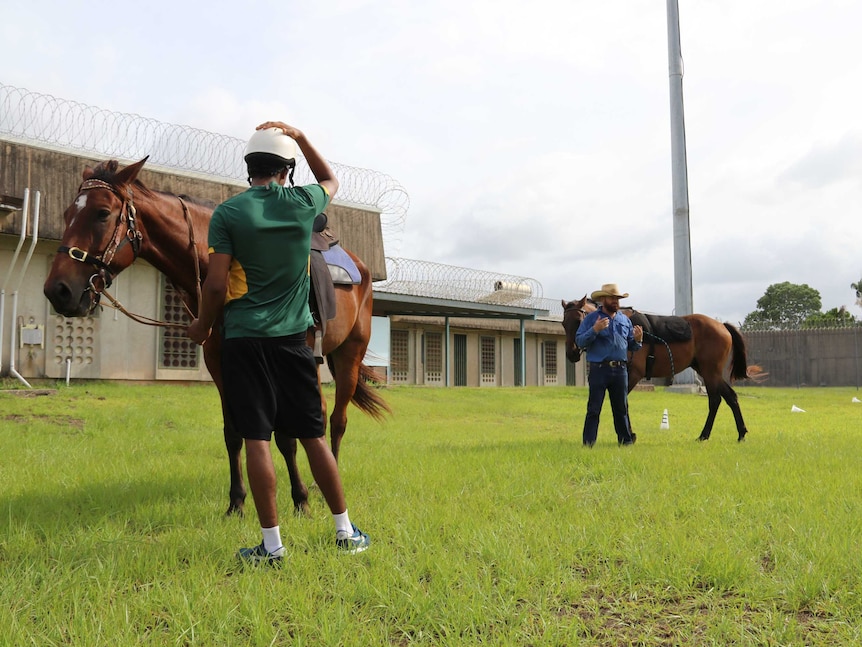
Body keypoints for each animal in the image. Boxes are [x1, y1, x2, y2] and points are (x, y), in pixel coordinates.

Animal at [44, 154, 388, 512]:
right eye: (67, 214)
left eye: (102, 213)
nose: (58, 290)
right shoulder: (220, 363)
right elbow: (233, 432)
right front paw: (236, 502)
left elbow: (285, 436)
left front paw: (300, 499)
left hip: (348, 354)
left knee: (336, 420)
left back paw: (324, 485)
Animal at [564, 296, 760, 442]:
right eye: (564, 324)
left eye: (579, 320)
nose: (571, 353)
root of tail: (721, 325)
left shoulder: (632, 374)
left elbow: (623, 403)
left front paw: (630, 435)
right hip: (708, 371)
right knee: (731, 397)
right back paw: (740, 433)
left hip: (710, 371)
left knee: (715, 400)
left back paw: (704, 435)